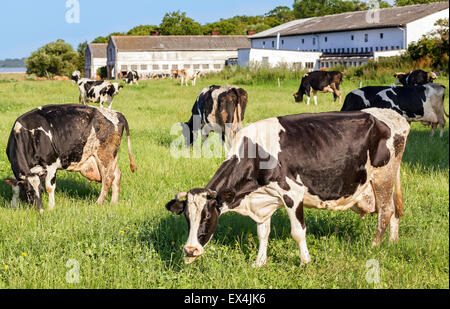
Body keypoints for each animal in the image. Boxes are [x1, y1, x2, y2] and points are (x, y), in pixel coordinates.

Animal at [3, 103, 136, 212]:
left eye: (40, 190)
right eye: (29, 192)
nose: (40, 210)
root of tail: (116, 113)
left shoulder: (51, 165)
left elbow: (50, 187)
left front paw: (51, 207)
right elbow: (15, 187)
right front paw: (13, 206)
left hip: (105, 155)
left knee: (108, 178)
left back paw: (98, 203)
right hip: (110, 157)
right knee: (117, 175)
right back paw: (113, 203)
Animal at [166, 107, 412, 264]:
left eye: (207, 216)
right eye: (187, 217)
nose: (190, 250)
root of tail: (393, 115)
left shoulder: (292, 193)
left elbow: (298, 232)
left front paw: (305, 262)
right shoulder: (264, 200)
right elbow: (262, 233)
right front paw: (259, 263)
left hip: (383, 176)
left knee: (386, 211)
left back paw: (375, 246)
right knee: (394, 211)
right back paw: (393, 242)